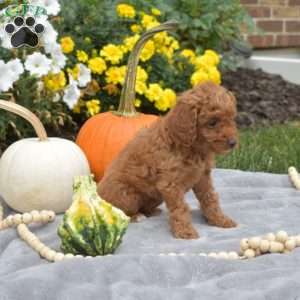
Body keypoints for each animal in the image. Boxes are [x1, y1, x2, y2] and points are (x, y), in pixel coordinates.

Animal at [98, 81, 239, 239]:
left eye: (232, 119)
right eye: (212, 122)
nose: (233, 143)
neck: (194, 147)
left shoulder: (203, 177)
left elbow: (210, 198)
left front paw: (220, 220)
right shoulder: (171, 184)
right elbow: (180, 207)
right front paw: (185, 231)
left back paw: (152, 212)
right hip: (126, 195)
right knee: (120, 213)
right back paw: (137, 217)